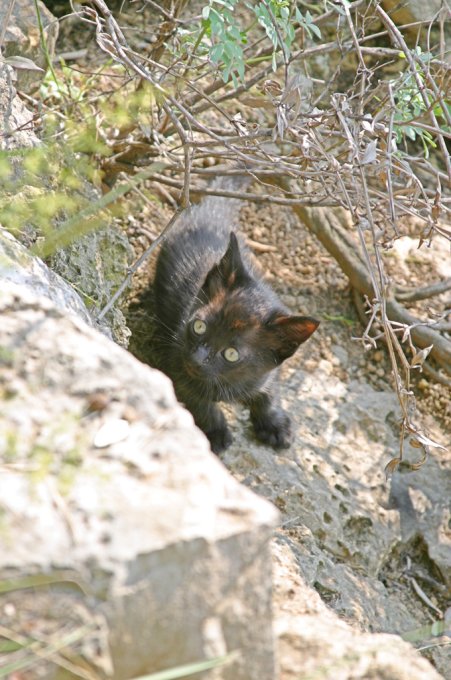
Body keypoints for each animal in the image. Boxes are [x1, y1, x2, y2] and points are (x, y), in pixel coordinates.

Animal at [154, 186, 320, 452]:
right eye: (199, 326)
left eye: (231, 354)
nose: (197, 358)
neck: (228, 383)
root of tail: (211, 213)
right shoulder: (176, 361)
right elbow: (199, 403)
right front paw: (216, 432)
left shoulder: (269, 372)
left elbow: (270, 393)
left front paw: (274, 424)